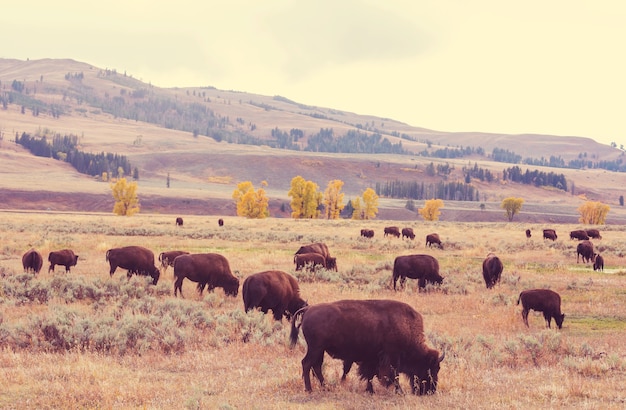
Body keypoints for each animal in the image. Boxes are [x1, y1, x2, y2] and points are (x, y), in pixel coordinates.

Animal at [288, 300, 444, 396]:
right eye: (430, 369)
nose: (431, 391)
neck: (406, 326)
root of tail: (308, 309)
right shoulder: (391, 357)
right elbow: (394, 375)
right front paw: (399, 391)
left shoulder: (373, 358)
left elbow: (370, 375)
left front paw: (370, 390)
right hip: (315, 348)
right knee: (307, 364)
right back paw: (309, 389)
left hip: (319, 350)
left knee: (316, 366)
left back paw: (325, 387)